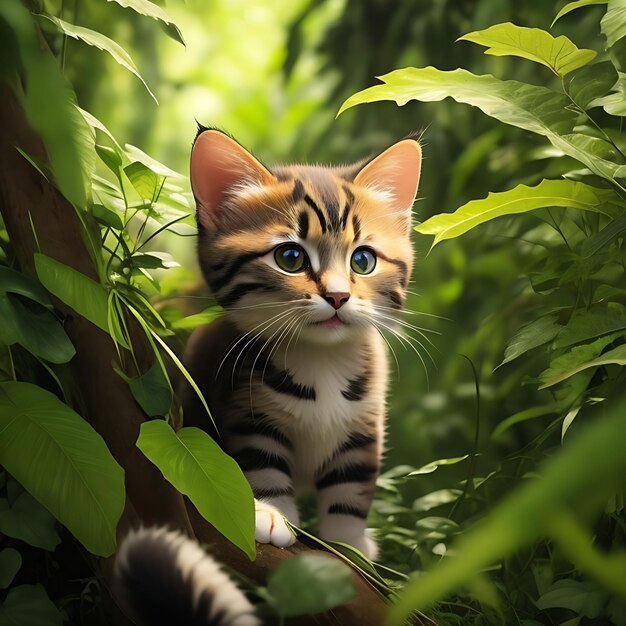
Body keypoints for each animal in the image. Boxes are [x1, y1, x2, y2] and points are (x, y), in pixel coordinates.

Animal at [183, 128, 422, 556]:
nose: (338, 296)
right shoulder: (244, 406)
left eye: (362, 260)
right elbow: (260, 463)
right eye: (290, 257)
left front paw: (349, 544)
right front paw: (272, 513)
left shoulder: (366, 423)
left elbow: (352, 487)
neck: (322, 360)